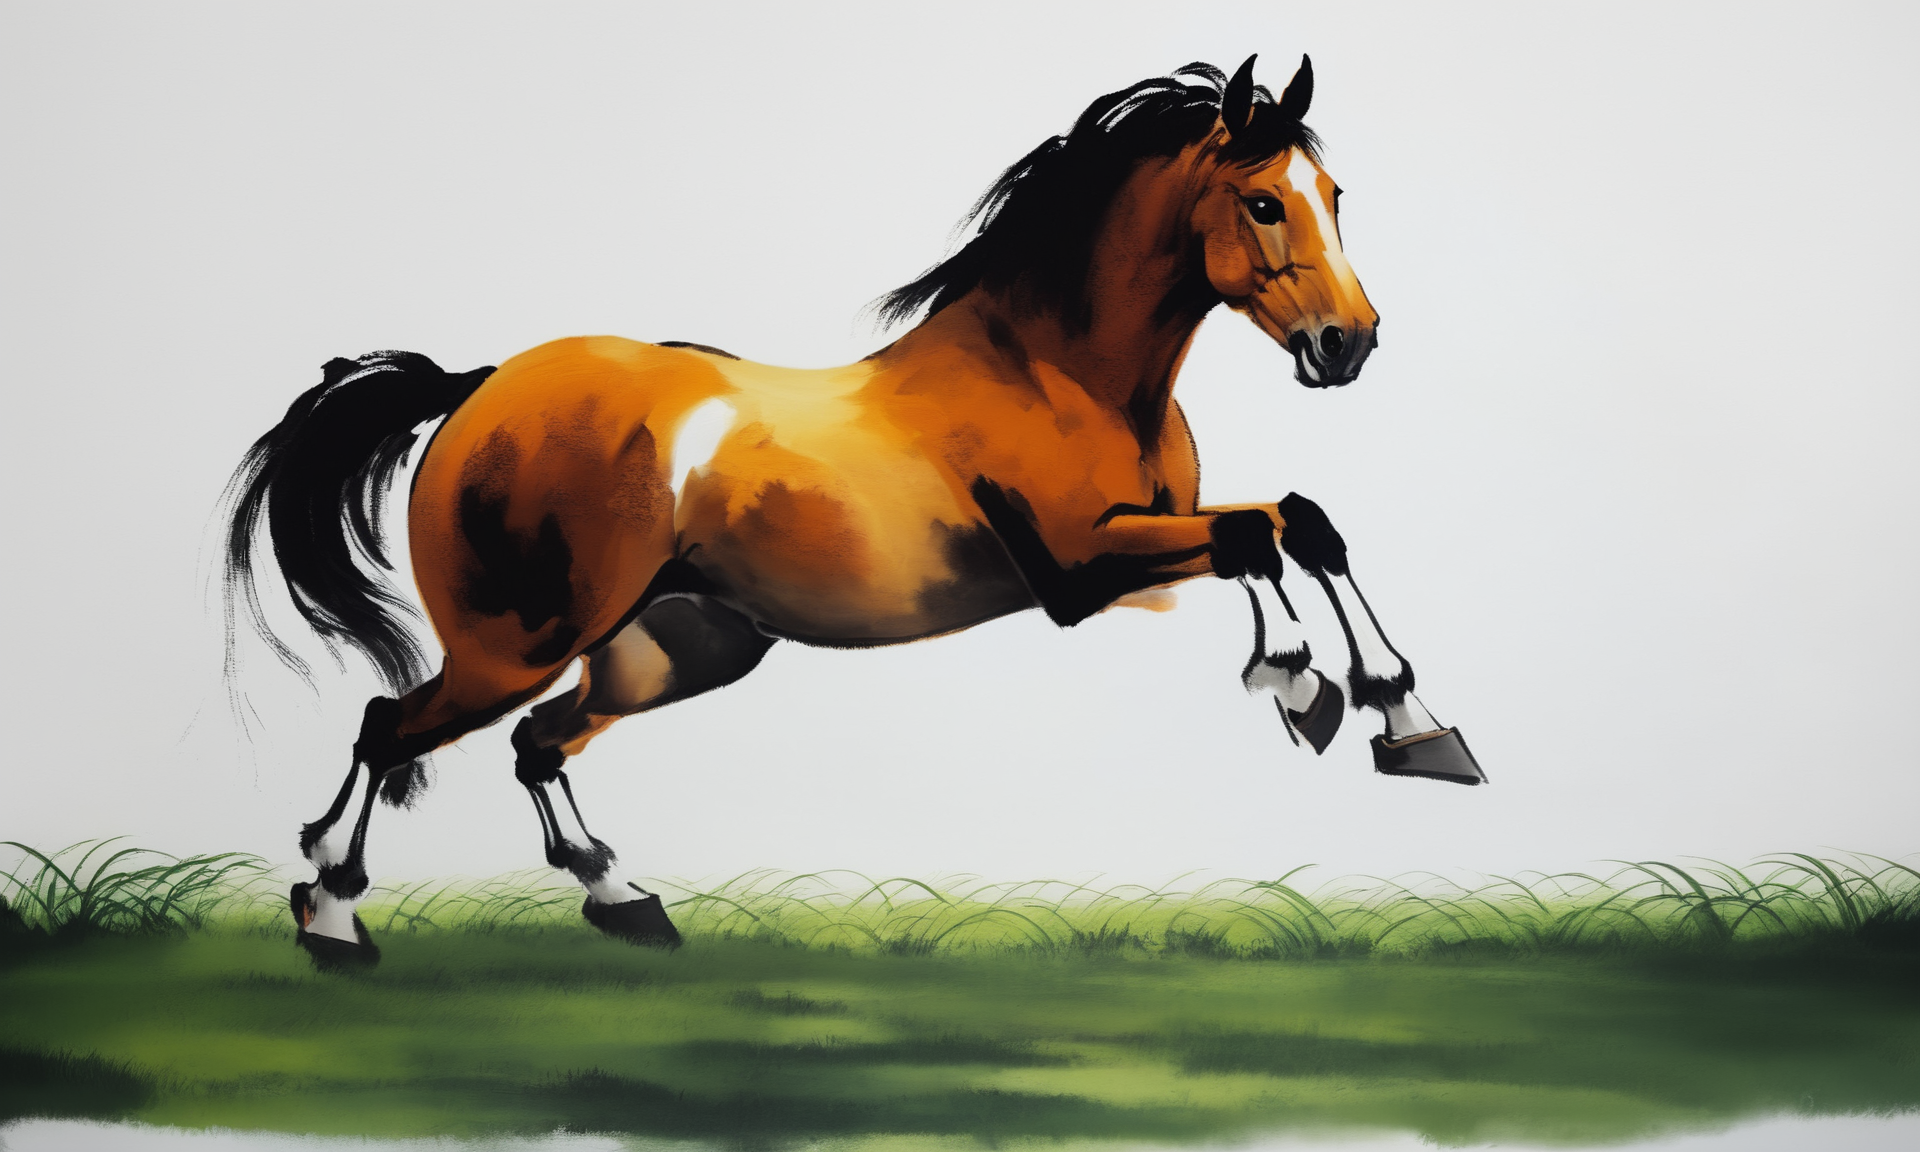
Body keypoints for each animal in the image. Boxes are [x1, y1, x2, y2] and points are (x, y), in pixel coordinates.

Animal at [224, 54, 1485, 966]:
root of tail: (478, 387)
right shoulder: (1078, 572)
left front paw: (1415, 726)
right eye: (1266, 203)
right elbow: (1253, 539)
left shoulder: (1146, 542)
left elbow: (1300, 522)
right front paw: (1304, 686)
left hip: (677, 648)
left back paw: (627, 902)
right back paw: (333, 922)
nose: (1348, 344)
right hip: (517, 640)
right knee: (391, 726)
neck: (1058, 370)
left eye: (1334, 196)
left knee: (535, 744)